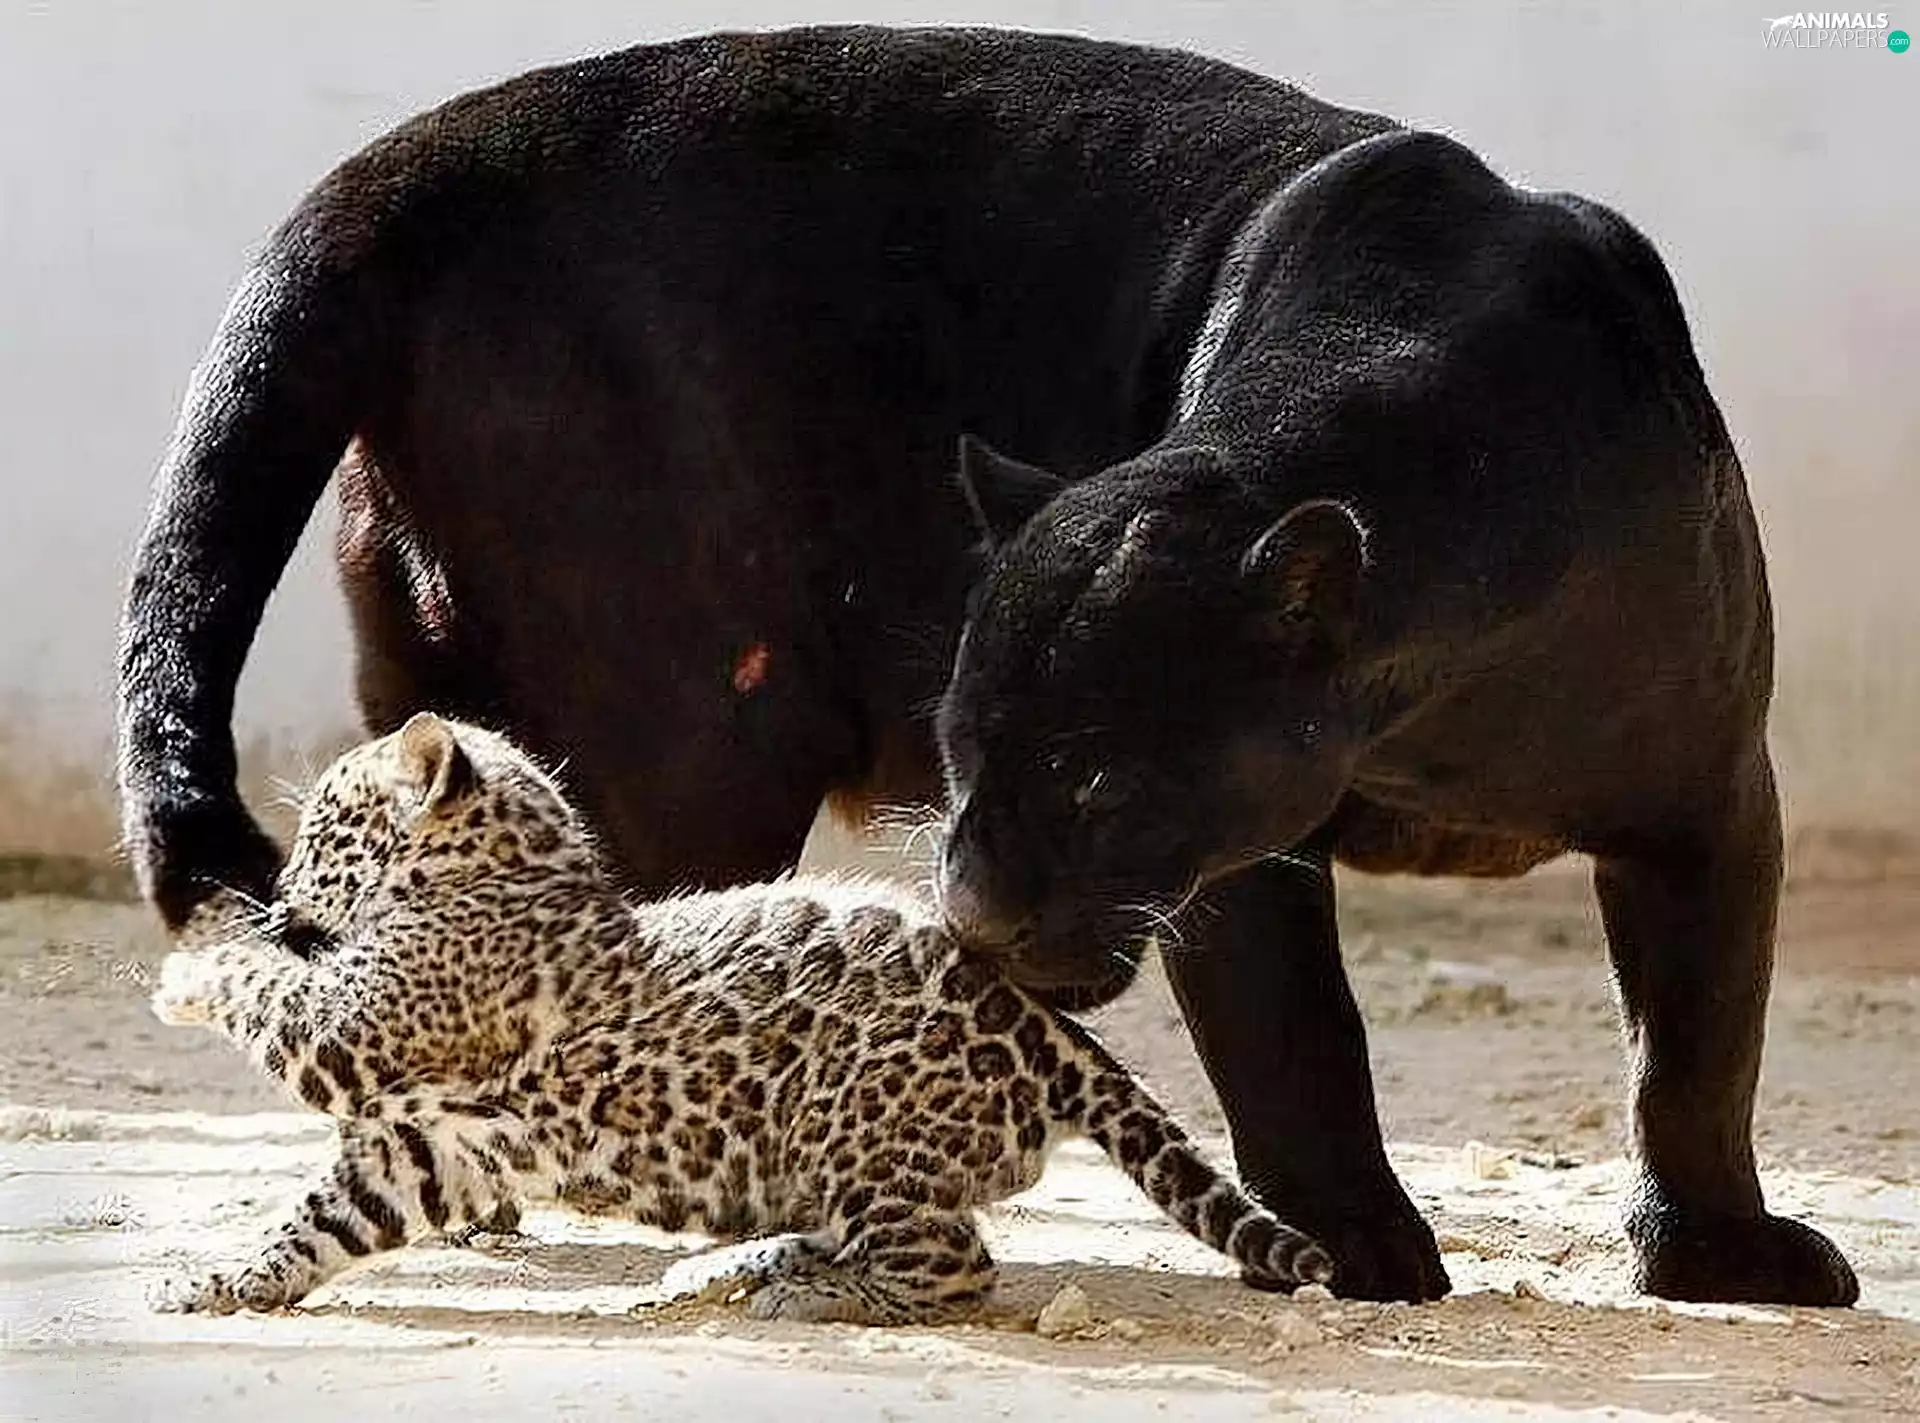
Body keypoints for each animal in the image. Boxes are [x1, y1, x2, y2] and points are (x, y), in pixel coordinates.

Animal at [149, 711, 1333, 1323]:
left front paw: (193, 966)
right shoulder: (427, 1144)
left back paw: (799, 1296)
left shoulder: (373, 1024)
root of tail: (1046, 1025)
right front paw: (230, 1282)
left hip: (860, 1136)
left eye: (326, 829)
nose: (283, 886)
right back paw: (729, 1268)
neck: (502, 874)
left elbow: (276, 991)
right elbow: (324, 1221)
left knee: (955, 1267)